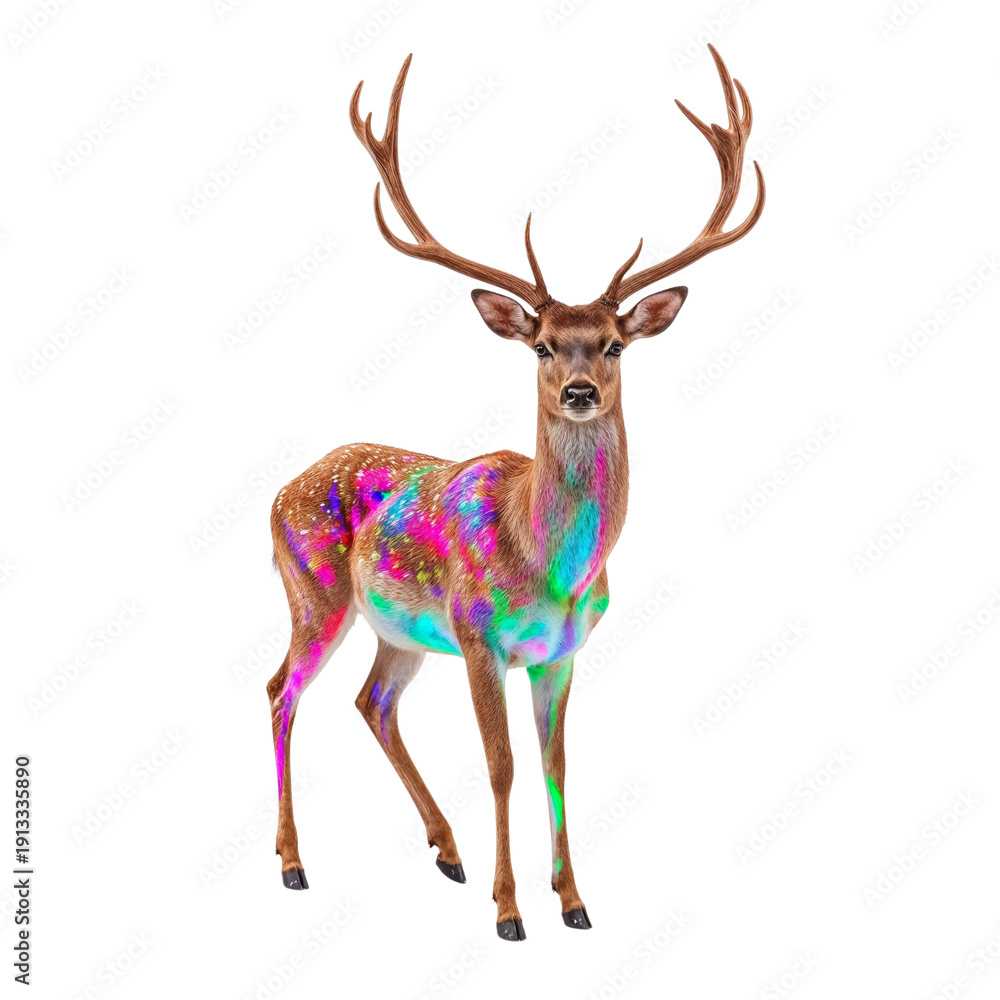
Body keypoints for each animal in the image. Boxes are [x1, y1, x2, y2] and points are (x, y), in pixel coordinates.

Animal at [266, 45, 764, 941]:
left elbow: (554, 762)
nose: (578, 390)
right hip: (314, 589)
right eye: (540, 346)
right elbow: (500, 766)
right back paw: (292, 863)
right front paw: (508, 912)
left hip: (396, 628)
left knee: (370, 700)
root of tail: (279, 488)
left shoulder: (562, 651)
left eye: (613, 344)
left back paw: (446, 850)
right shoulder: (478, 635)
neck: (547, 564)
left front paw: (573, 901)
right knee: (279, 689)